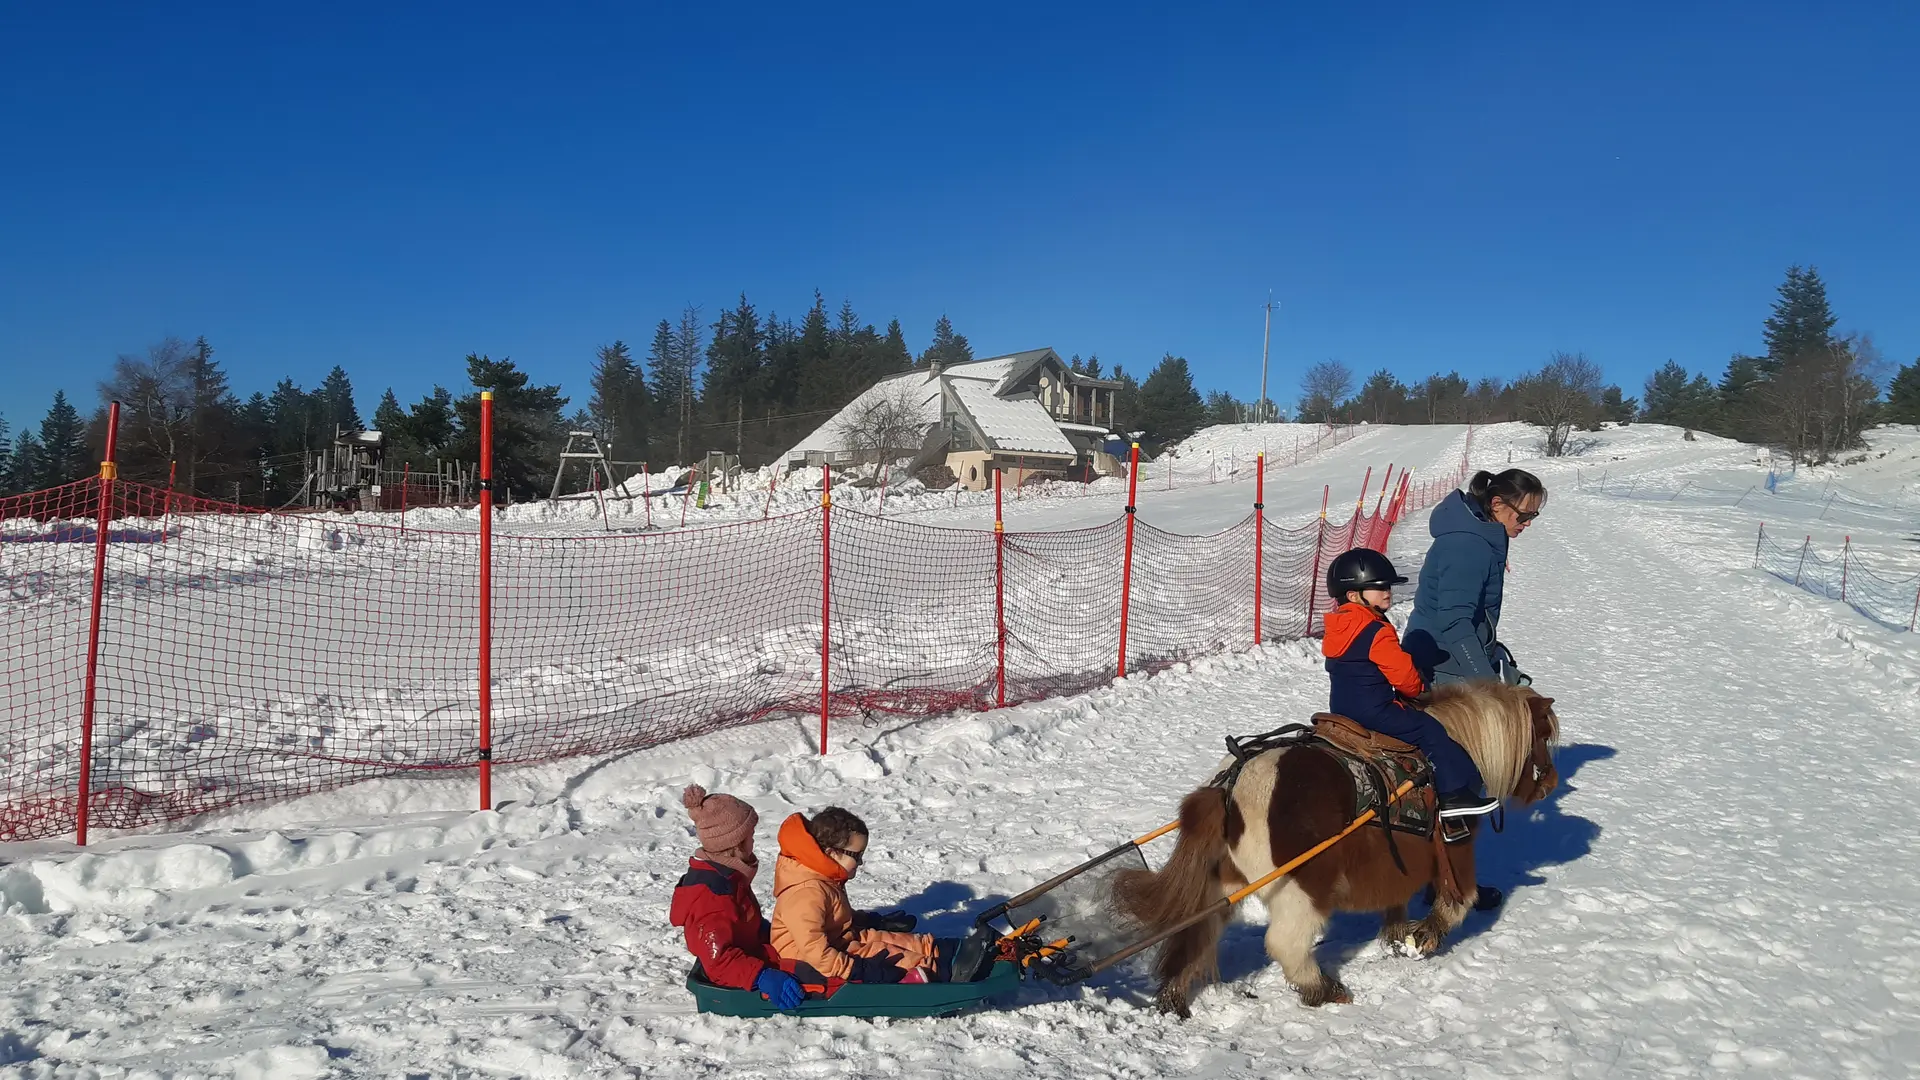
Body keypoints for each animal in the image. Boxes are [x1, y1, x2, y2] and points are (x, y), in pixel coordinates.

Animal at [1110, 680, 1560, 1016]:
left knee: (1195, 936)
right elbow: (1457, 899)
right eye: (1543, 736)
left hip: (1220, 887)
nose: (1550, 783)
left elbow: (1397, 902)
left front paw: (1398, 937)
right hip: (1299, 890)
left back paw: (1173, 999)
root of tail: (1231, 785)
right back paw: (1324, 990)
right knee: (1285, 943)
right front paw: (1424, 938)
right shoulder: (1456, 841)